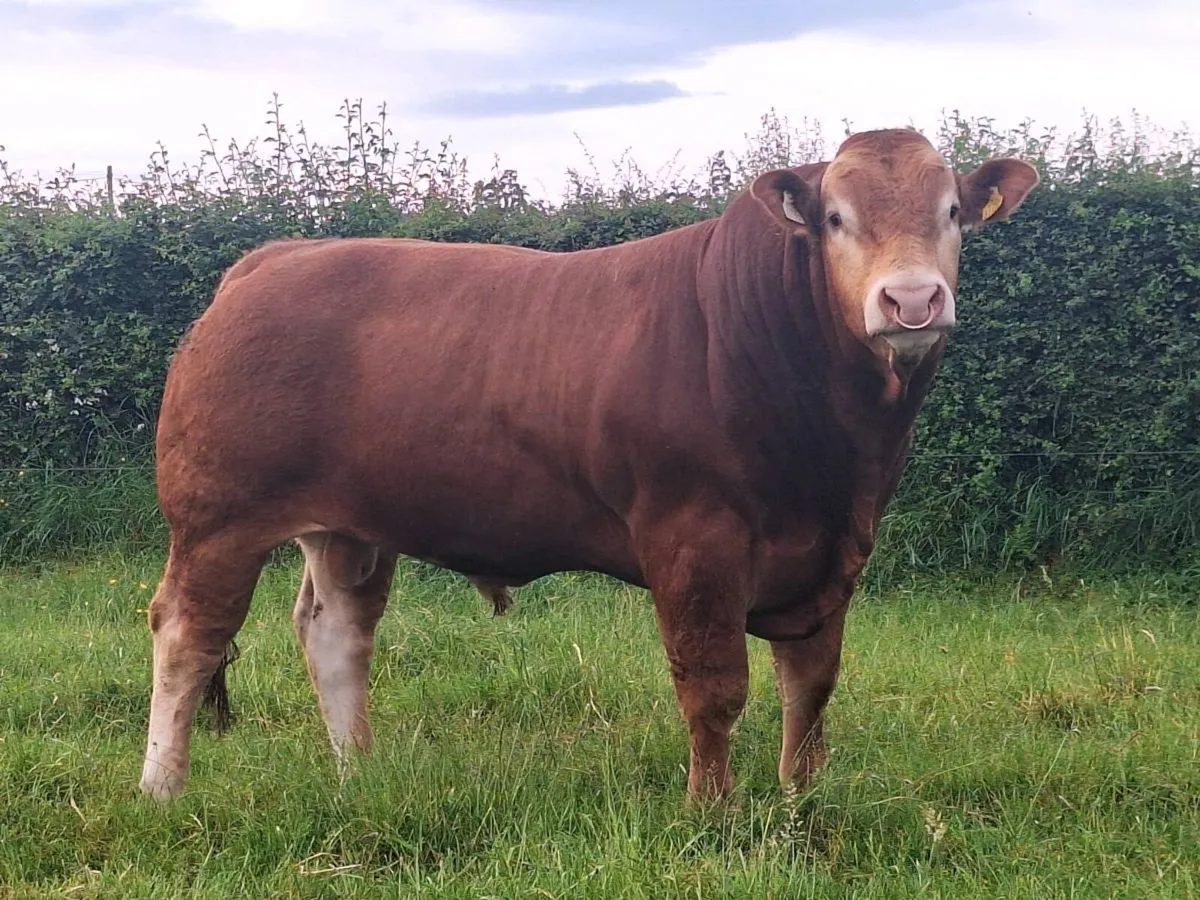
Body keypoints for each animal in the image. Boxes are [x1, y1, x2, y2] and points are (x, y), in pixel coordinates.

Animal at [138, 127, 1038, 803]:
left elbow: (811, 687)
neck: (833, 454)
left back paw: (358, 771)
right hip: (217, 516)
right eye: (836, 218)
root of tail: (271, 258)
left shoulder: (836, 551)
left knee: (335, 633)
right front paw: (712, 812)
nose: (911, 299)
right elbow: (714, 685)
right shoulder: (694, 539)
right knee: (186, 635)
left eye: (953, 212)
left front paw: (801, 801)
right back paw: (162, 789)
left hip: (348, 526)